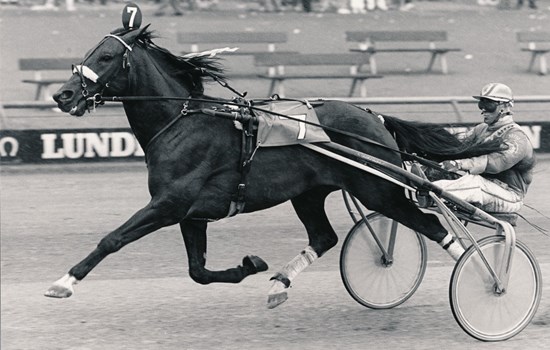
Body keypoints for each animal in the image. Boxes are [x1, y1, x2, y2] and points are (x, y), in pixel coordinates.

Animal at [48, 26, 504, 308]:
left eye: (106, 55)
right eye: (89, 52)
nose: (63, 94)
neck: (182, 120)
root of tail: (373, 117)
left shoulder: (168, 204)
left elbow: (113, 239)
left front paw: (64, 282)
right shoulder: (192, 213)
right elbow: (198, 271)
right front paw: (251, 266)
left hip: (380, 190)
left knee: (435, 227)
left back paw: (486, 278)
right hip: (311, 193)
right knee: (324, 237)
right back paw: (279, 284)